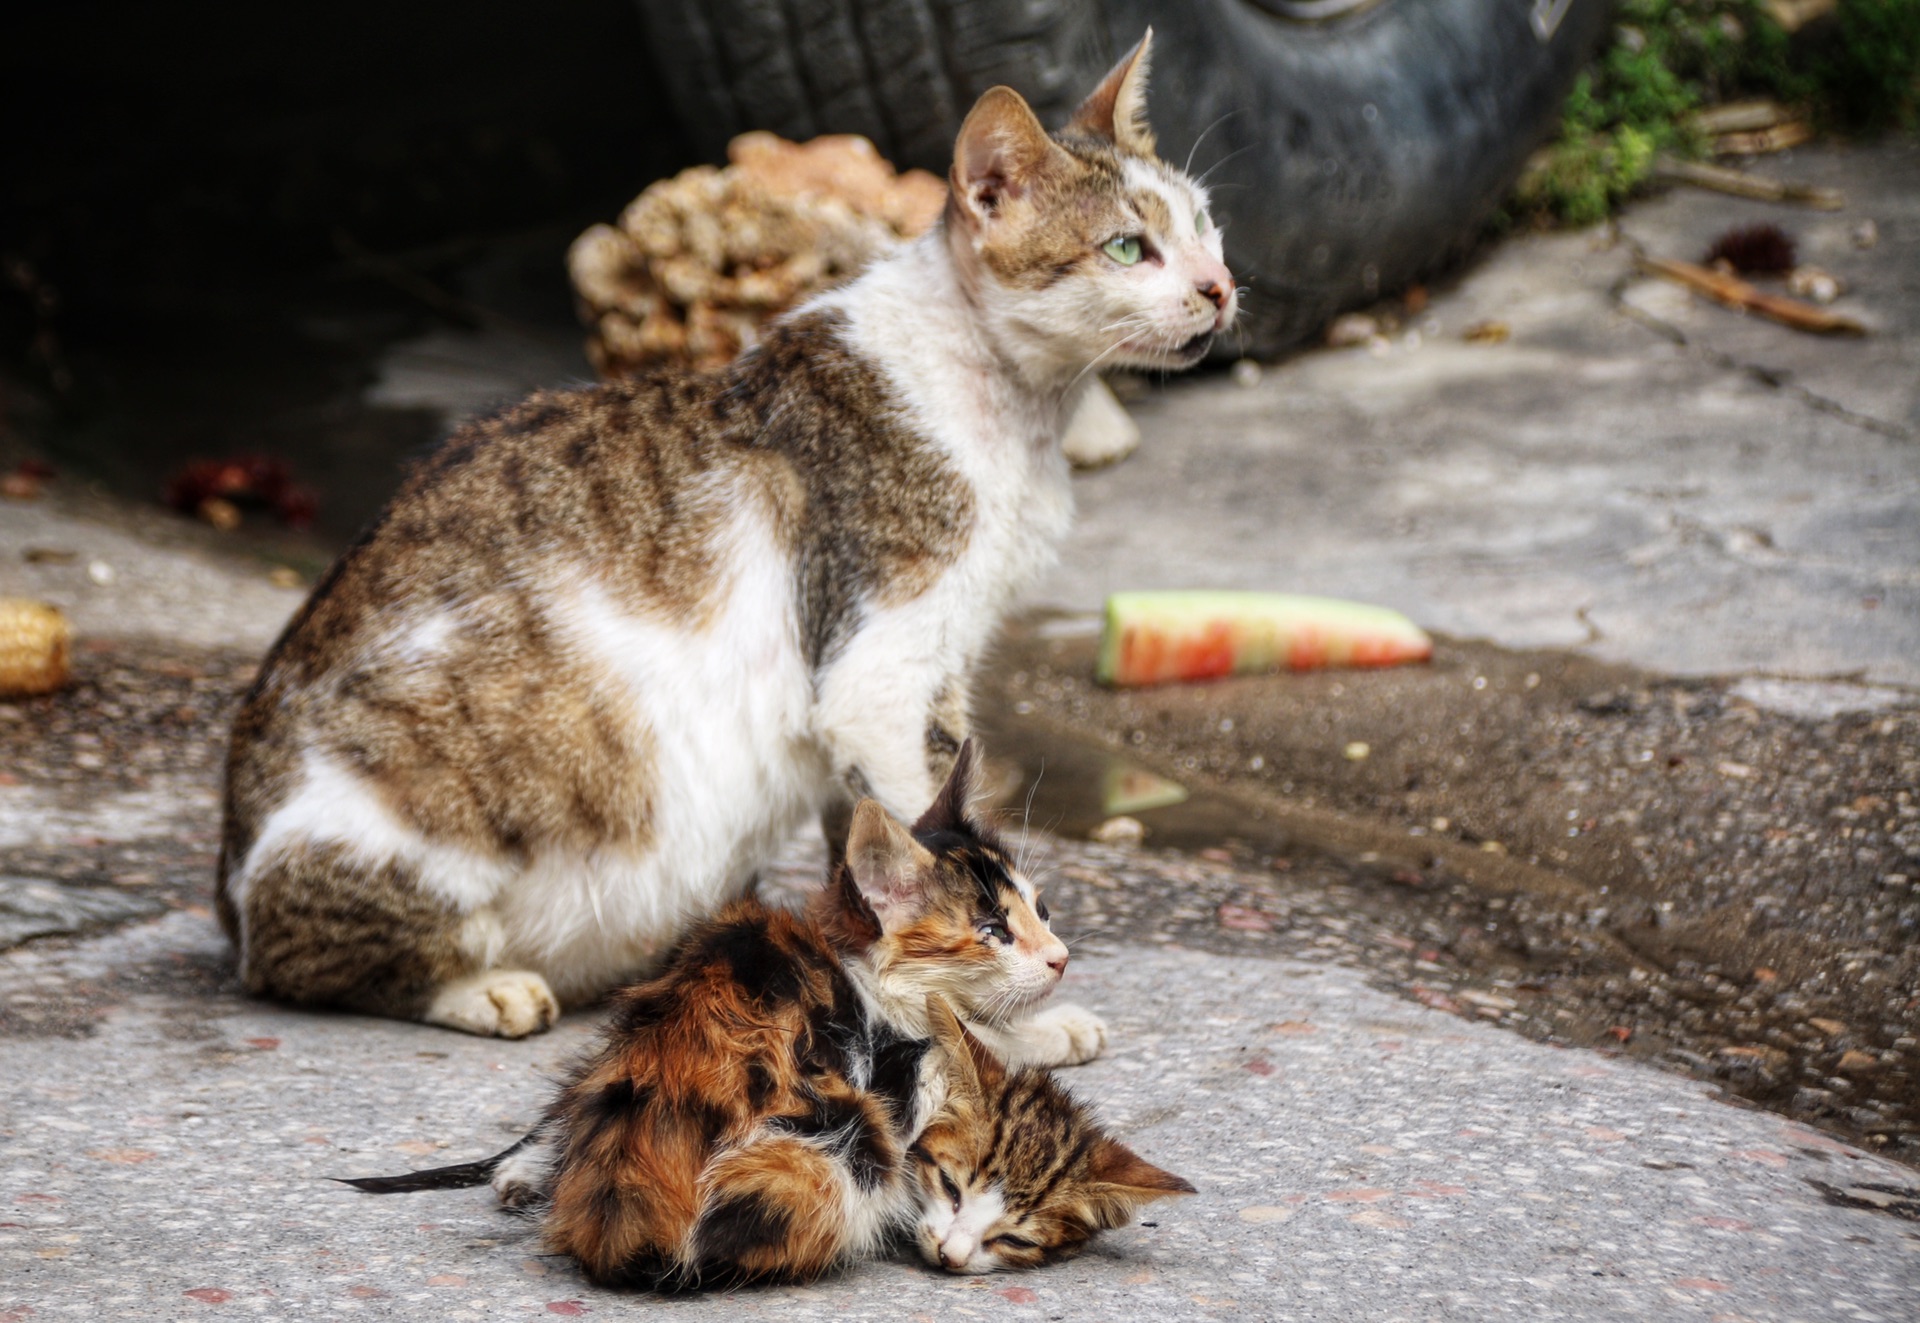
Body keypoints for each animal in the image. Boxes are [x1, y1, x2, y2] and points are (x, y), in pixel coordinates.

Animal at [217, 25, 1236, 1044]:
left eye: (1204, 225)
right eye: (1127, 247)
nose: (1221, 287)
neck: (1017, 402)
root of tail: (227, 892)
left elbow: (870, 850)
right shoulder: (881, 670)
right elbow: (927, 853)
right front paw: (1005, 1030)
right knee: (301, 963)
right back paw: (490, 986)